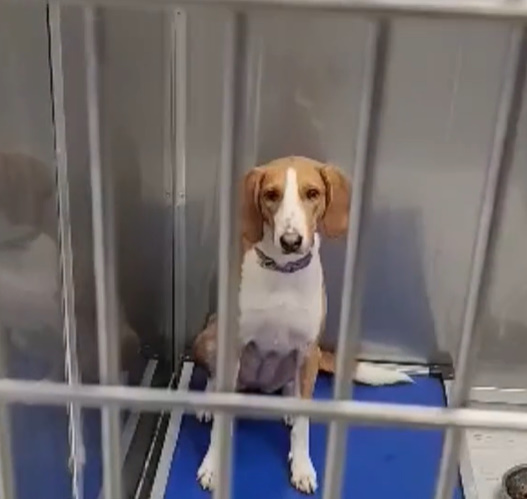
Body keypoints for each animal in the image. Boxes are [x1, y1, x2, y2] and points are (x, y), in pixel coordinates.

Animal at [192, 157, 410, 496]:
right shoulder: (233, 343)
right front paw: (213, 465)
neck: (282, 272)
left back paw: (289, 404)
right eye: (271, 194)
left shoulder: (308, 351)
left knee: (292, 390)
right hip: (208, 335)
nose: (291, 241)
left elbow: (304, 425)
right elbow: (220, 421)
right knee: (215, 377)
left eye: (312, 193)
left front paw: (302, 466)